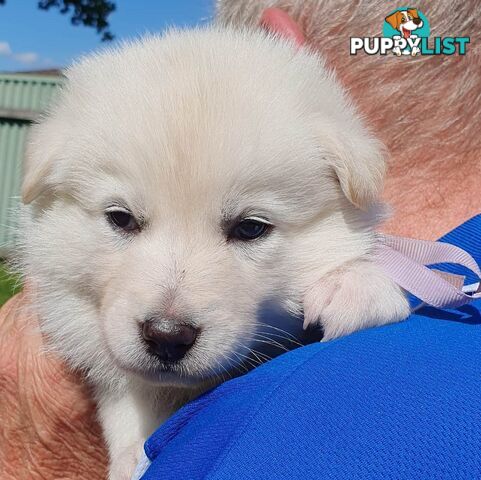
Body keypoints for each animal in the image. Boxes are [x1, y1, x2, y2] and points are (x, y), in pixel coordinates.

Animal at [18, 27, 408, 480]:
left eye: (251, 228)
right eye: (121, 219)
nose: (167, 336)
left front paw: (355, 284)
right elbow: (127, 394)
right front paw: (133, 454)